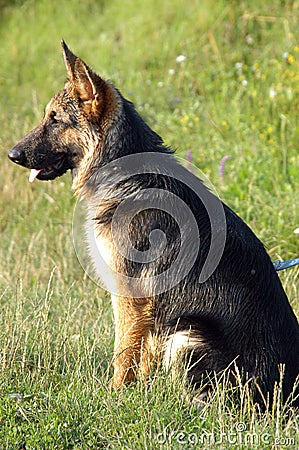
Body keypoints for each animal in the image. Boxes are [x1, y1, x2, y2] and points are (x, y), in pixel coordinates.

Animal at [8, 43, 298, 408]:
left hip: (187, 333)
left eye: (55, 119)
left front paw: (117, 396)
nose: (11, 154)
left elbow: (125, 351)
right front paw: (140, 393)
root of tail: (287, 391)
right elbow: (143, 353)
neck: (127, 176)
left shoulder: (132, 295)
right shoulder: (147, 306)